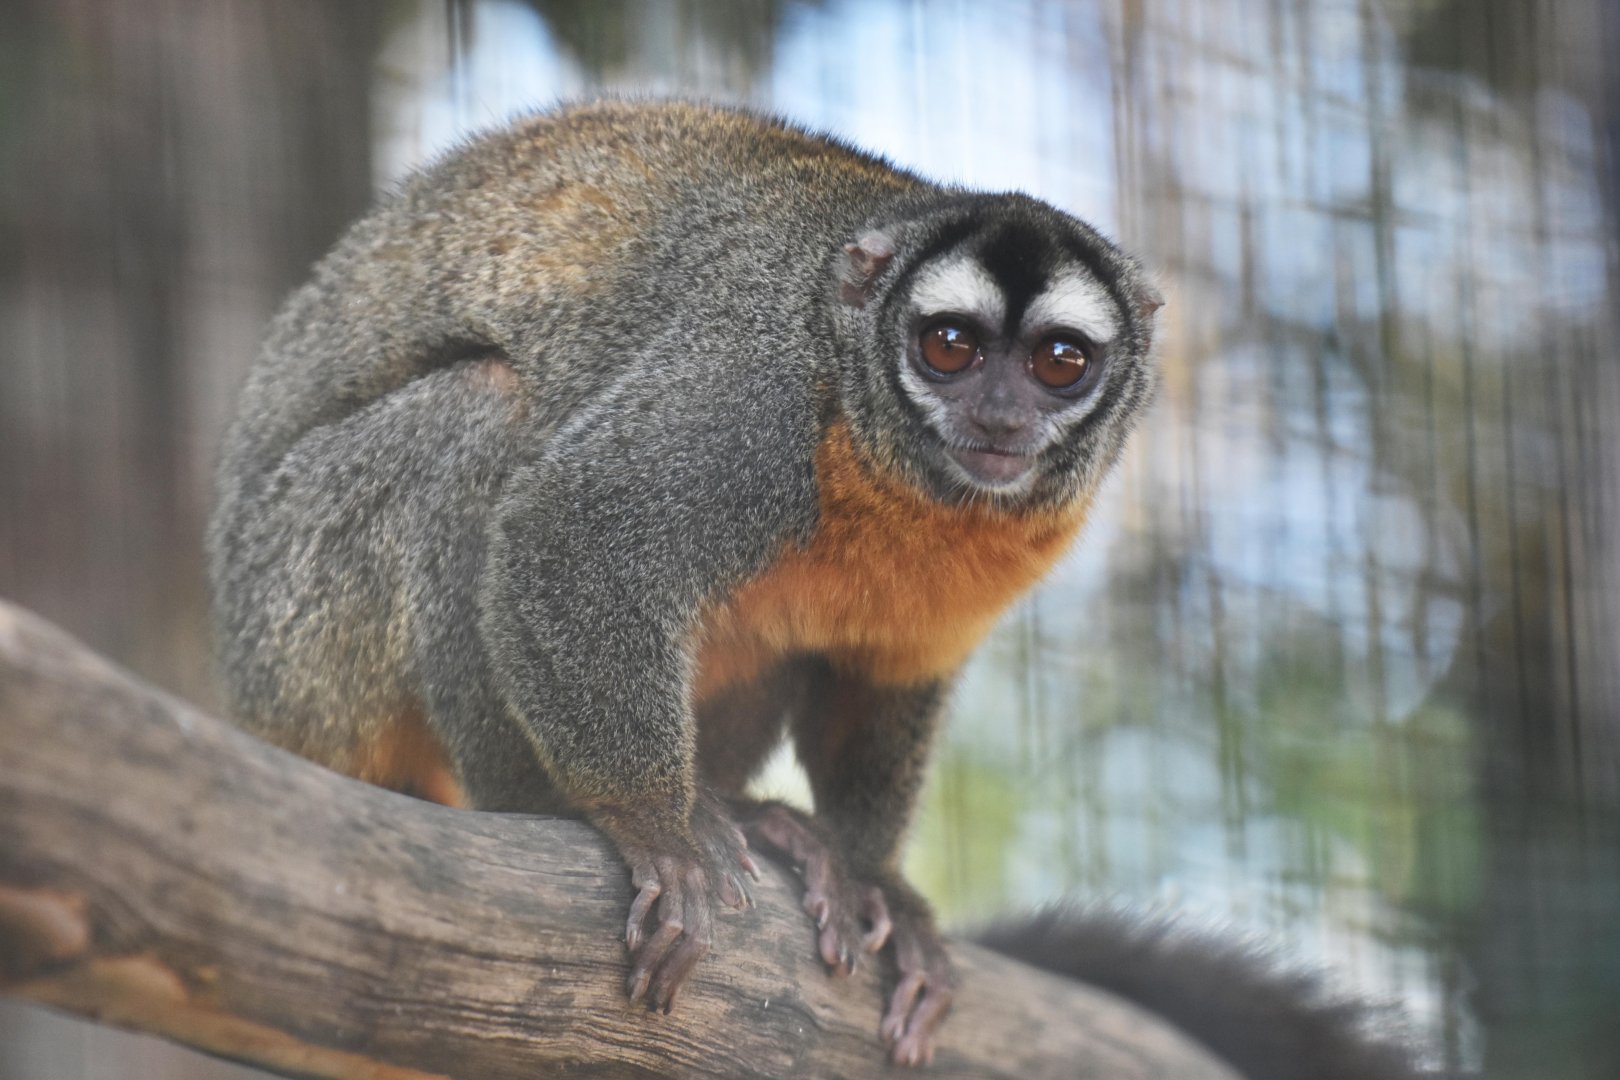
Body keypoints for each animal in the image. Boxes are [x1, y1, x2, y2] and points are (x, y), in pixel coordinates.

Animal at [206, 99, 1163, 1066]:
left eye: (1058, 361)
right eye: (951, 346)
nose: (999, 417)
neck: (882, 446)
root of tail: (247, 693)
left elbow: (885, 675)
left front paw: (873, 878)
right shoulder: (755, 398)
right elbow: (571, 527)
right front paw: (654, 828)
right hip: (299, 627)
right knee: (478, 405)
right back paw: (552, 802)